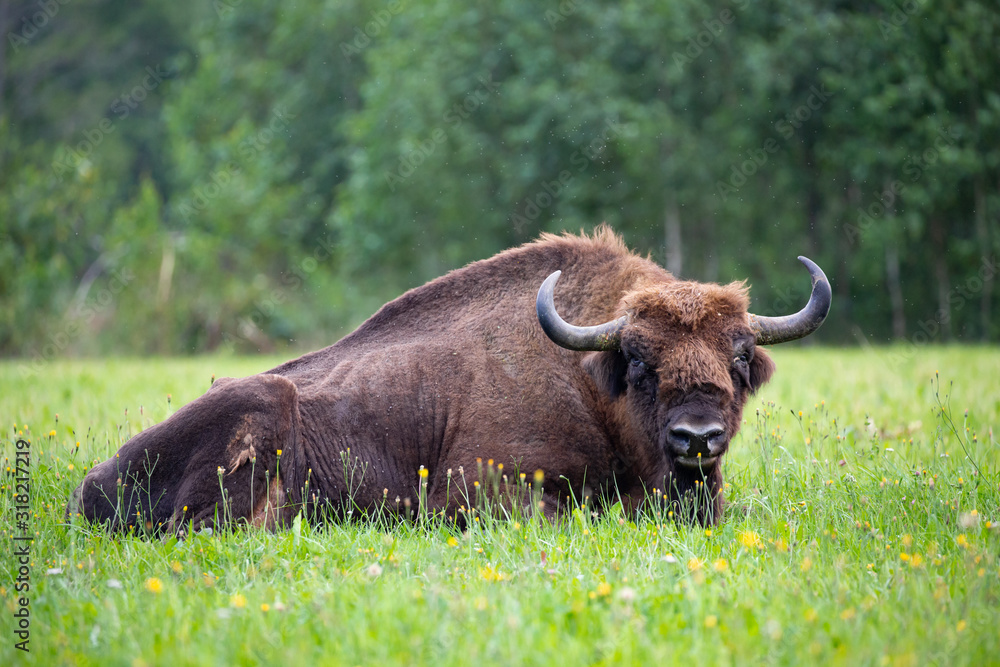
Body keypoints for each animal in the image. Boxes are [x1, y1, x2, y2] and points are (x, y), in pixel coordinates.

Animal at [64, 227, 828, 528]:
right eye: (638, 361)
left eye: (738, 358)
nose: (697, 437)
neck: (586, 377)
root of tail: (91, 484)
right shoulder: (478, 488)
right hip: (261, 405)